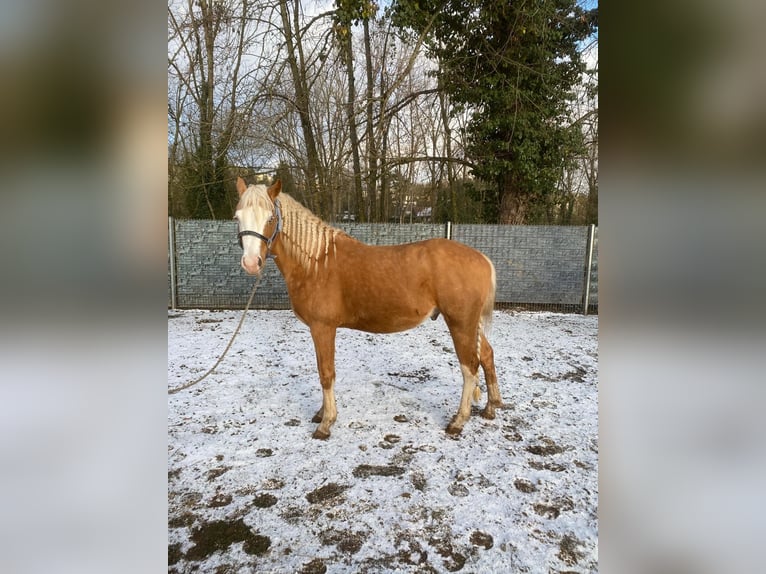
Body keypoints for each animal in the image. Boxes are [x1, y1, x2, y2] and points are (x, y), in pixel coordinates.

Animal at [234, 177, 505, 439]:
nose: (251, 263)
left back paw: (458, 422)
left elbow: (326, 373)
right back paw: (491, 408)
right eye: (237, 217)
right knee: (487, 355)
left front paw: (326, 423)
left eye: (270, 218)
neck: (316, 262)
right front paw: (321, 413)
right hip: (470, 325)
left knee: (469, 368)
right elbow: (324, 370)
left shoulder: (322, 328)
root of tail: (483, 259)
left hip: (460, 324)